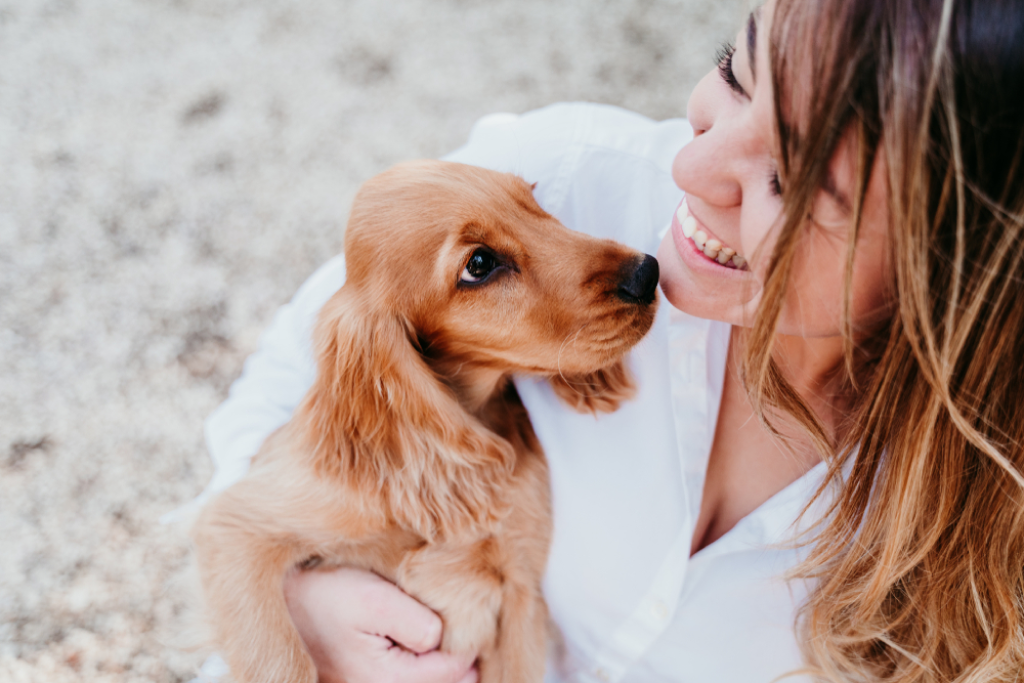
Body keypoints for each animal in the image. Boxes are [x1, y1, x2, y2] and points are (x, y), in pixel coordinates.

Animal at [190, 160, 655, 683]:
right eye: (479, 265)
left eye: (533, 201)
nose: (648, 272)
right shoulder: (236, 526)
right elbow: (279, 658)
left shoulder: (521, 591)